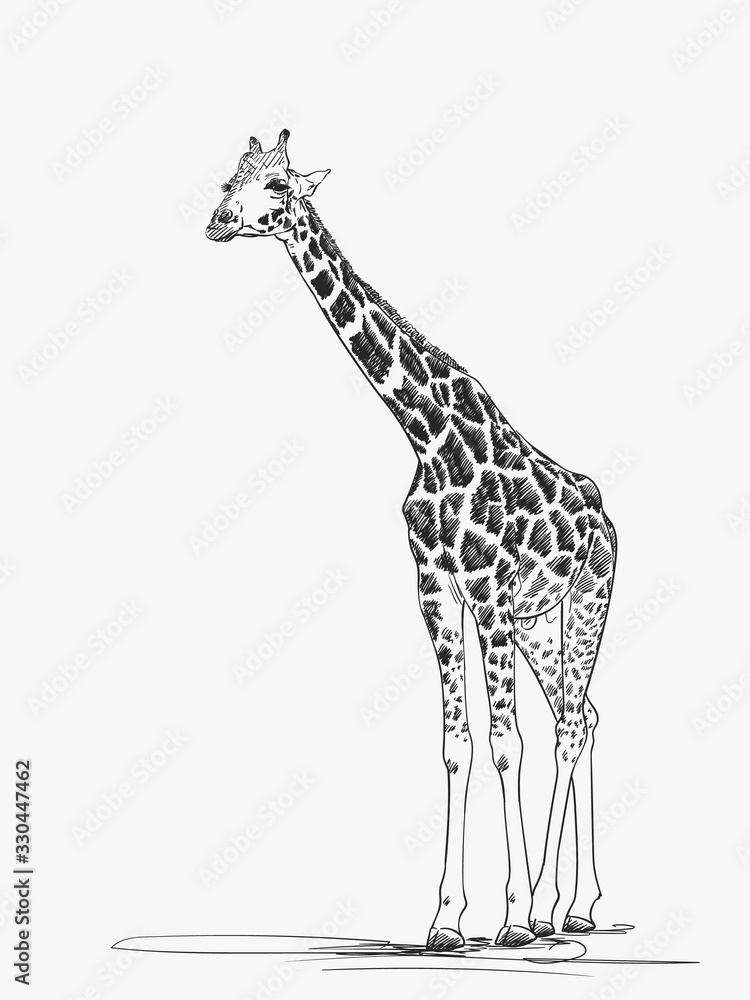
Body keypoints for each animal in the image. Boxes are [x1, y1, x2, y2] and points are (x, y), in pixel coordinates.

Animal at [206, 130, 617, 951]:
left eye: (277, 185)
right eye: (232, 178)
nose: (216, 221)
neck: (426, 432)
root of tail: (606, 516)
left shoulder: (486, 591)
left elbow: (505, 742)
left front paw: (510, 917)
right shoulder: (436, 589)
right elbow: (457, 746)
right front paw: (448, 920)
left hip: (584, 604)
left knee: (566, 726)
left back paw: (550, 909)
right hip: (540, 625)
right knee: (580, 716)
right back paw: (573, 905)